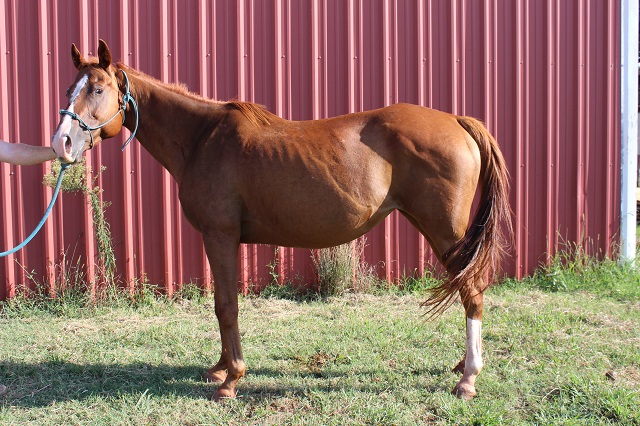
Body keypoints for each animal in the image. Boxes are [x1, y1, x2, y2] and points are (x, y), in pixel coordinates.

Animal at [51, 40, 510, 400]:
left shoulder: (220, 236)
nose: (62, 143)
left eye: (97, 88)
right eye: (70, 88)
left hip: (446, 232)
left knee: (472, 293)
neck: (202, 138)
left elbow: (227, 306)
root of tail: (457, 121)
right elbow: (221, 304)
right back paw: (461, 366)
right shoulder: (219, 240)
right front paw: (219, 368)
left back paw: (468, 379)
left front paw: (231, 380)